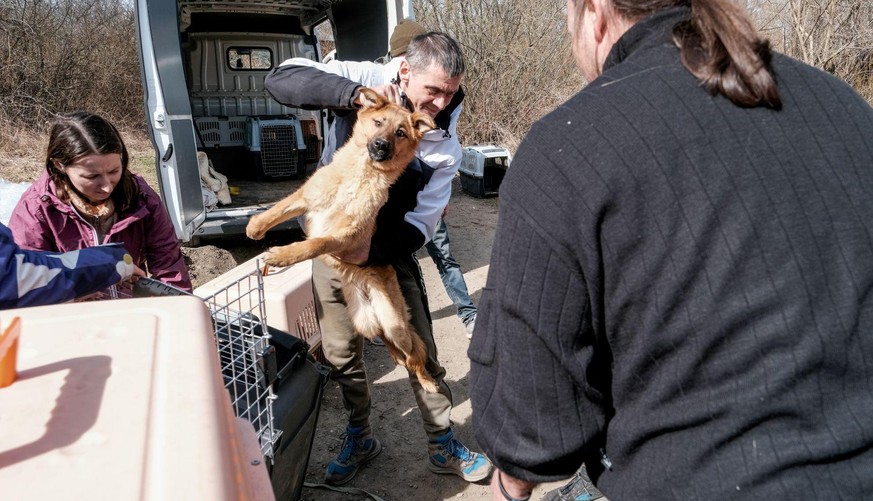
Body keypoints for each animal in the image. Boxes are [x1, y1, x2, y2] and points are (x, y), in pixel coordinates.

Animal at [245, 87, 440, 390]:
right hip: (367, 322)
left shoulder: (345, 239)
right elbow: (279, 209)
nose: (380, 145)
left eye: (400, 133)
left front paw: (282, 255)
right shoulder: (306, 198)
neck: (360, 175)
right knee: (398, 353)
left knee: (414, 356)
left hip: (393, 324)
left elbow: (314, 243)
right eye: (378, 123)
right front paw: (256, 227)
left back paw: (428, 381)